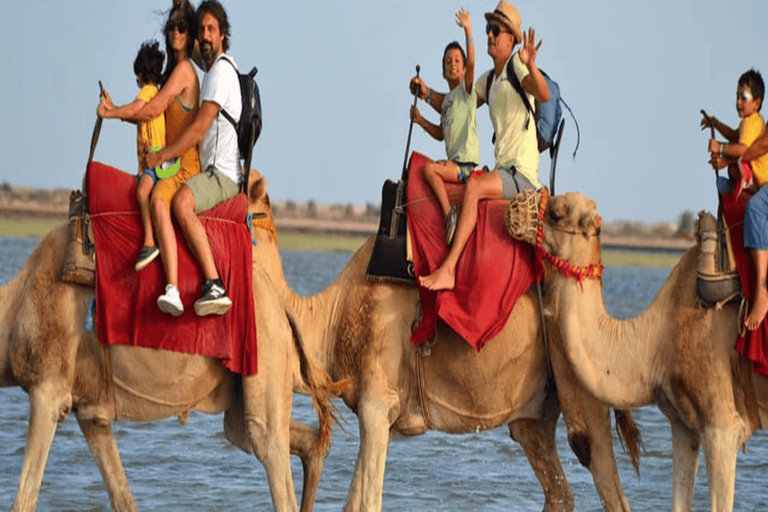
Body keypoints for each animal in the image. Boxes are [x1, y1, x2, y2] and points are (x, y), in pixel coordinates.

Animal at [0, 186, 341, 512]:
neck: (18, 302)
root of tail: (283, 307)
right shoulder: (90, 410)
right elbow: (123, 499)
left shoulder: (49, 387)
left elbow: (25, 500)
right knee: (288, 437)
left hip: (265, 348)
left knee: (269, 445)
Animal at [245, 175, 642, 512]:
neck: (333, 314)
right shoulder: (382, 416)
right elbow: (354, 502)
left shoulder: (377, 401)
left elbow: (367, 502)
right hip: (536, 411)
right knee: (557, 485)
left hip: (584, 374)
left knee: (600, 466)